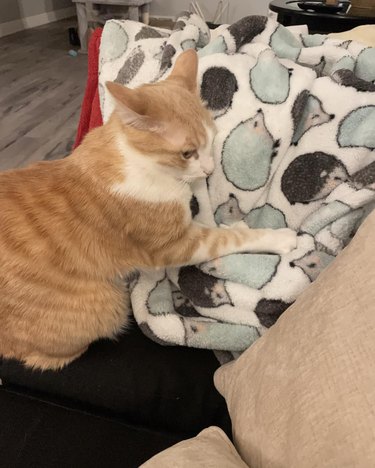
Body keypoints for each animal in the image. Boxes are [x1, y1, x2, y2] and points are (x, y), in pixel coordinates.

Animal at [0, 48, 296, 370]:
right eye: (187, 153)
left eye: (212, 139)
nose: (209, 170)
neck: (139, 161)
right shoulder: (174, 244)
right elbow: (229, 239)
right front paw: (281, 238)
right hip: (108, 305)